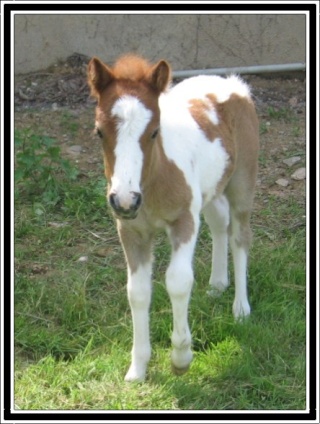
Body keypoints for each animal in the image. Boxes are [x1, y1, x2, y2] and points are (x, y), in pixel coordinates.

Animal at [87, 54, 260, 382]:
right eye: (99, 132)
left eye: (155, 131)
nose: (125, 199)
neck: (153, 182)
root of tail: (228, 82)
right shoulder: (131, 230)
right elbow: (137, 291)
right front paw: (138, 368)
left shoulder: (184, 220)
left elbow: (178, 281)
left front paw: (181, 358)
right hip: (209, 189)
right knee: (219, 222)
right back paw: (218, 284)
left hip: (242, 182)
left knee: (240, 237)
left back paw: (241, 308)